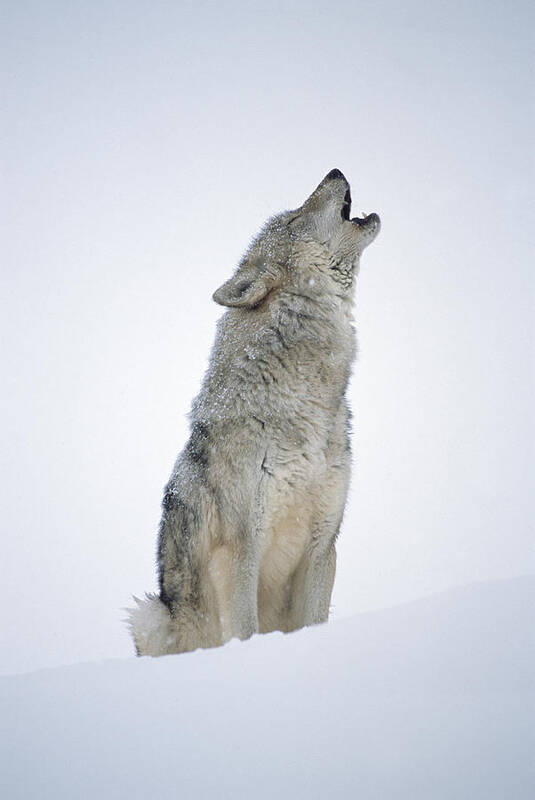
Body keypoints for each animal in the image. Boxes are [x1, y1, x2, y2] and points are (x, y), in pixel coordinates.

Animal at [128, 169, 382, 656]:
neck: (305, 403)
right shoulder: (239, 551)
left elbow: (315, 620)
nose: (335, 171)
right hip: (149, 614)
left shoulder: (323, 545)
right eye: (295, 218)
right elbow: (244, 628)